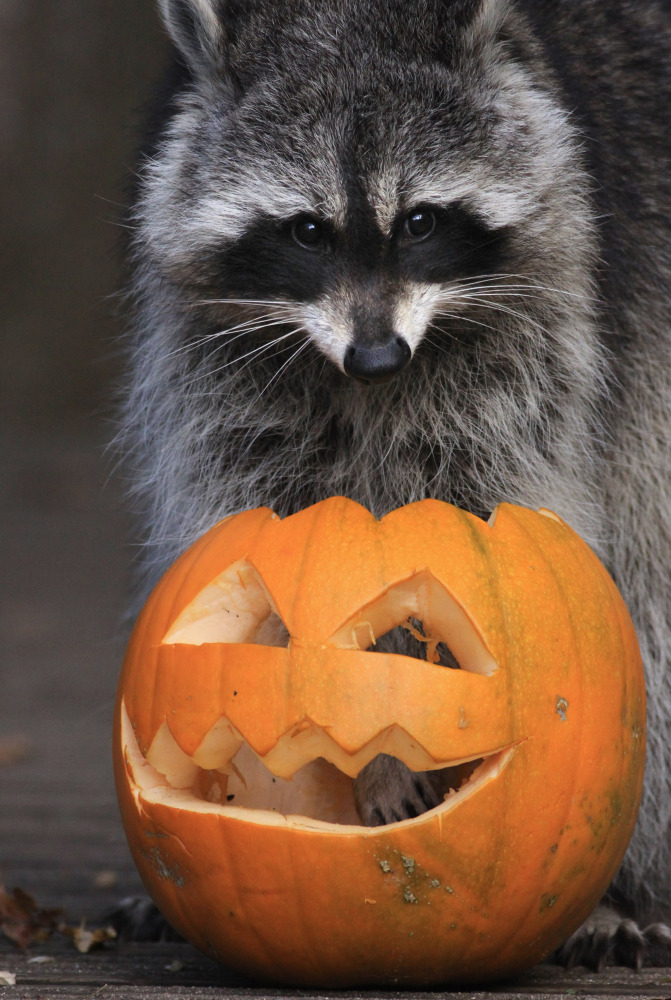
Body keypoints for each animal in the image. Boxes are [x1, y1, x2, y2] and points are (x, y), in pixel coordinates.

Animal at [118, 0, 671, 968]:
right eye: (307, 231)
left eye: (419, 221)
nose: (377, 357)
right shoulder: (212, 351)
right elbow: (259, 521)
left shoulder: (545, 322)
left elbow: (479, 524)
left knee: (646, 583)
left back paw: (621, 887)